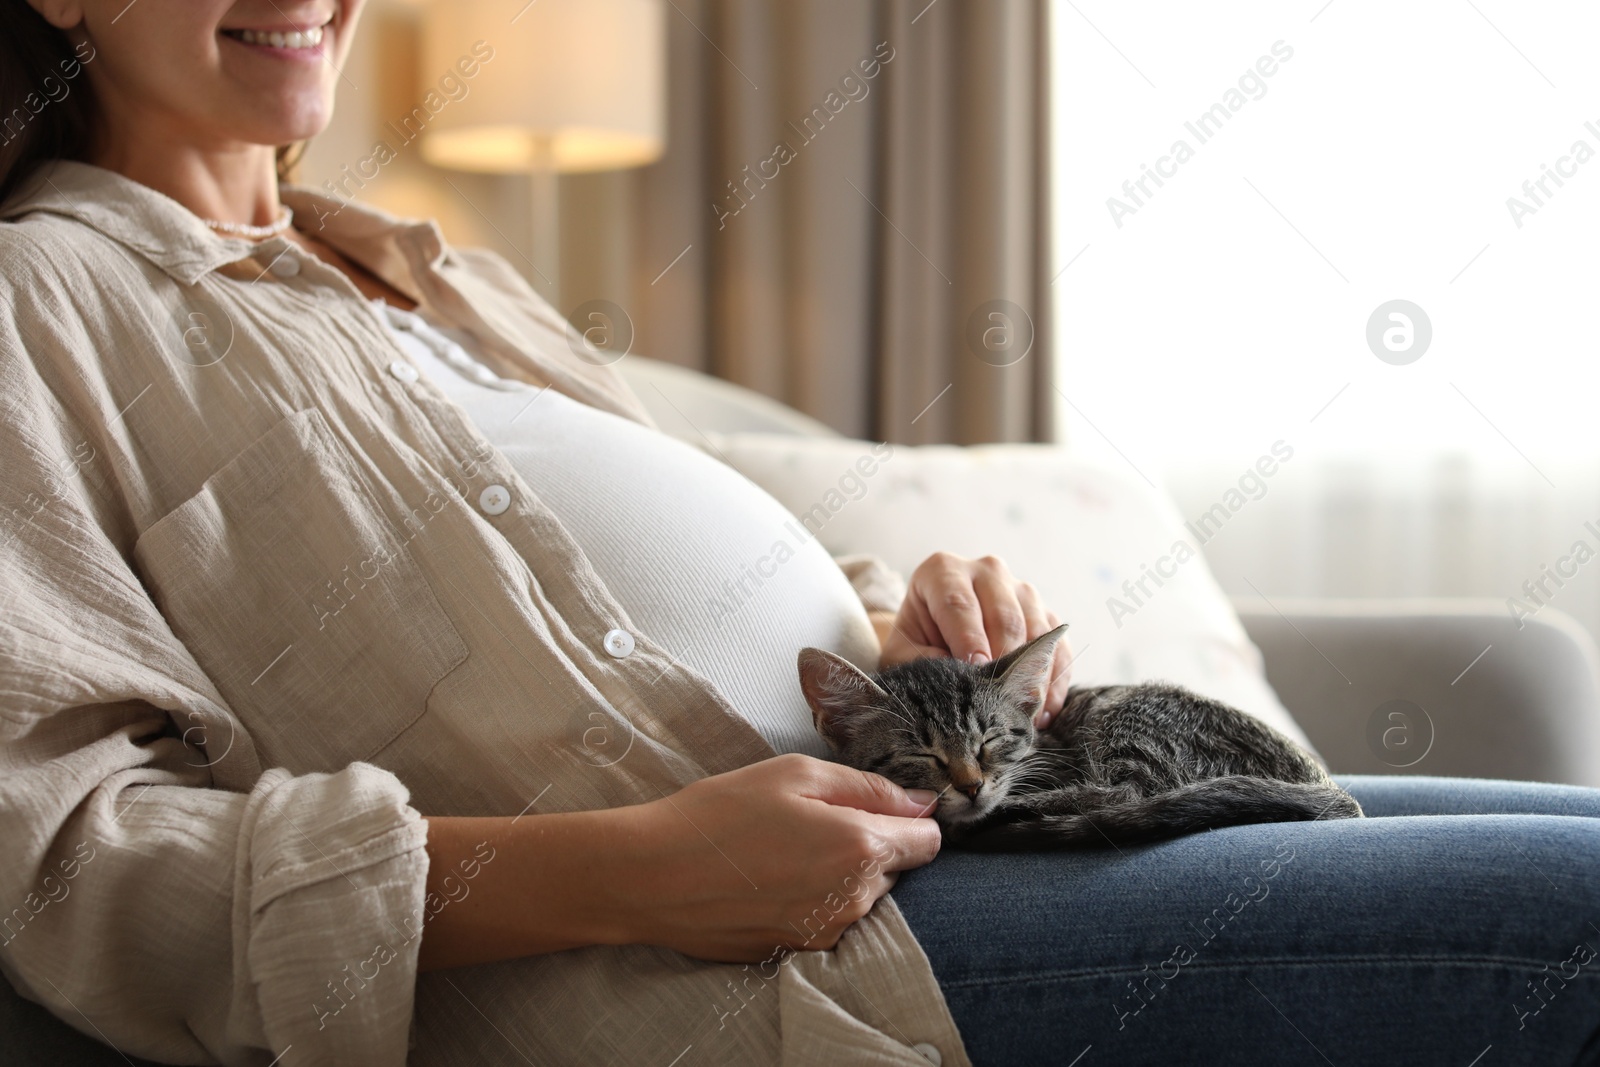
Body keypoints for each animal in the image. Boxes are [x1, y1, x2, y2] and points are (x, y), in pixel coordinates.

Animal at [793, 627, 1356, 851]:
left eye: (989, 740)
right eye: (920, 753)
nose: (972, 786)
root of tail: (1327, 785)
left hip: (1128, 716)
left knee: (1126, 795)